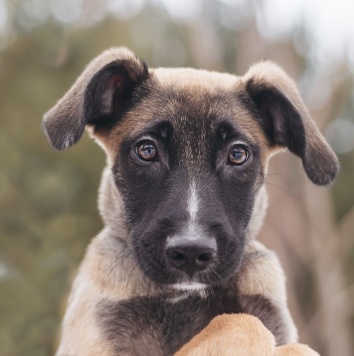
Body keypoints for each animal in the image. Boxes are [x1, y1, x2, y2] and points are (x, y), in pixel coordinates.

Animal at [42, 47, 338, 356]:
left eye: (237, 154)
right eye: (146, 150)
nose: (191, 252)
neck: (185, 293)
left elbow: (287, 342)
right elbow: (242, 323)